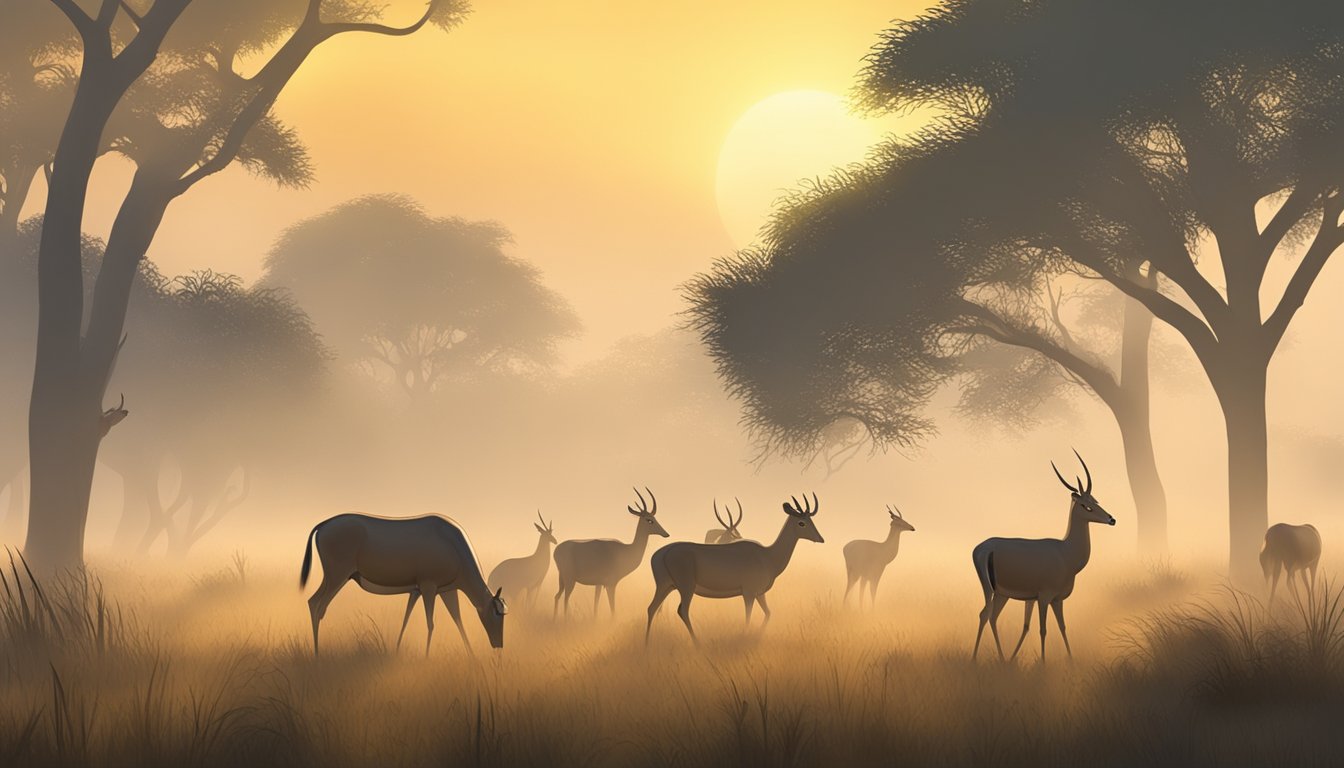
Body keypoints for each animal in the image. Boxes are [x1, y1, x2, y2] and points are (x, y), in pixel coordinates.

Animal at [297, 513, 505, 659]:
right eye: (496, 613)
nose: (499, 645)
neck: (453, 544)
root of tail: (324, 525)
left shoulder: (436, 590)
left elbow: (453, 619)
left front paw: (473, 657)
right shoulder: (429, 587)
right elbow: (431, 623)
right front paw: (426, 657)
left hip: (334, 577)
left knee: (314, 603)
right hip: (337, 576)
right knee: (317, 605)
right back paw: (316, 654)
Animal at [551, 489, 666, 621]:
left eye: (654, 518)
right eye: (649, 520)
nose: (666, 533)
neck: (626, 550)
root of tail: (556, 550)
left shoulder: (599, 584)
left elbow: (596, 605)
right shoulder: (611, 584)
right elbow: (612, 608)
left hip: (562, 579)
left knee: (557, 596)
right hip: (570, 579)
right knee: (565, 599)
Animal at [647, 492, 822, 642]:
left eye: (811, 520)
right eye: (801, 522)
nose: (821, 538)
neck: (768, 557)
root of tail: (660, 555)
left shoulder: (760, 593)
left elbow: (768, 613)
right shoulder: (749, 593)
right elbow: (748, 616)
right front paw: (744, 636)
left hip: (665, 586)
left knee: (652, 608)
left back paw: (647, 644)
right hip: (686, 587)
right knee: (682, 610)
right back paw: (697, 643)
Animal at [978, 454, 1112, 664]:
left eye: (1095, 500)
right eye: (1086, 505)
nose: (1111, 519)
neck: (1066, 553)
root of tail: (982, 549)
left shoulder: (1055, 599)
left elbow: (1060, 627)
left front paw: (1071, 661)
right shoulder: (1043, 597)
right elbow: (1043, 629)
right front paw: (1042, 663)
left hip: (1001, 594)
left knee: (992, 616)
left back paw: (1002, 659)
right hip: (988, 589)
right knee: (984, 614)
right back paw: (975, 660)